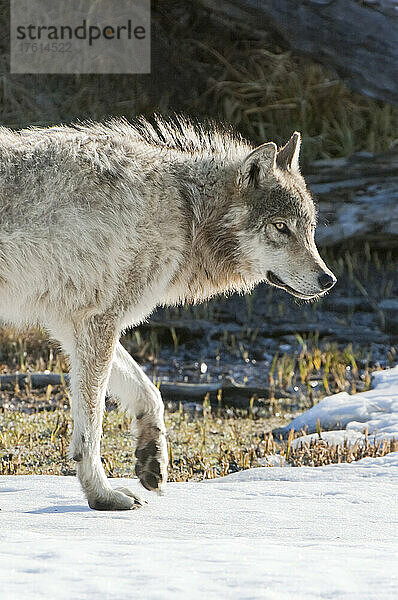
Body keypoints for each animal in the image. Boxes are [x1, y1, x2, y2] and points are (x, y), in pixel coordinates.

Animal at [0, 117, 336, 510]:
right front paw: (103, 495)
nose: (328, 280)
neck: (184, 210)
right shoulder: (99, 322)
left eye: (309, 229)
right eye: (281, 227)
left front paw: (151, 459)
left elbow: (150, 394)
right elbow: (92, 430)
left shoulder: (74, 326)